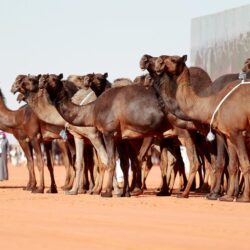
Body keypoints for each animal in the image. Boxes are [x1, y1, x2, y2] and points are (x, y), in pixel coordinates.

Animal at [155, 53, 250, 202]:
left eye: (173, 59)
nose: (159, 61)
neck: (212, 102)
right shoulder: (229, 134)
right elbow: (233, 164)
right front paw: (228, 196)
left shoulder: (236, 132)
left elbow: (242, 163)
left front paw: (243, 197)